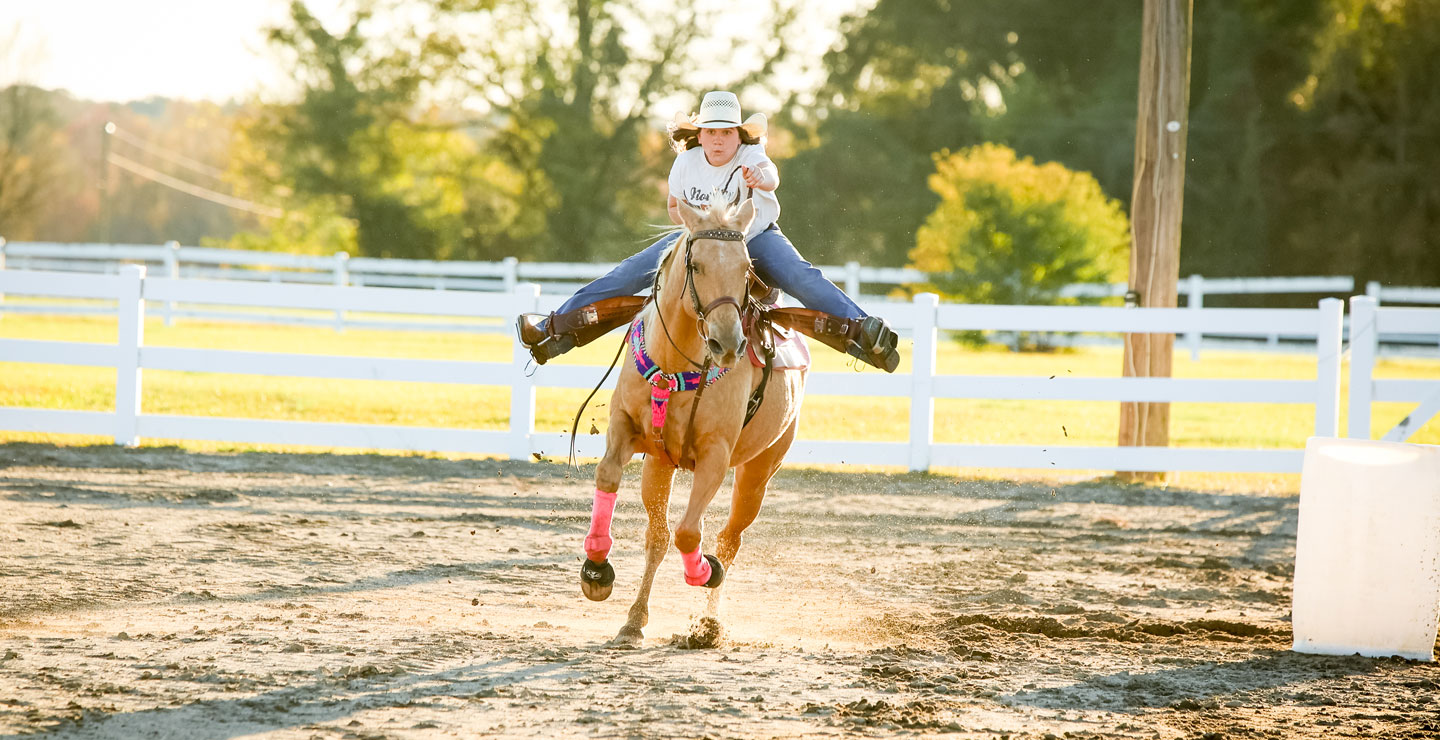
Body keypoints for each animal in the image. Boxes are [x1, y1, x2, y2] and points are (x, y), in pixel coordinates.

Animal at [576, 198, 806, 642]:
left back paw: (710, 623)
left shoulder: (715, 457)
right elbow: (608, 477)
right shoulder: (626, 429)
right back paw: (634, 618)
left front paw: (705, 572)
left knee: (728, 540)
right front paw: (596, 569)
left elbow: (689, 533)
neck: (674, 362)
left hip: (759, 471)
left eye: (746, 268)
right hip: (660, 464)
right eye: (696, 265)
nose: (727, 343)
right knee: (658, 537)